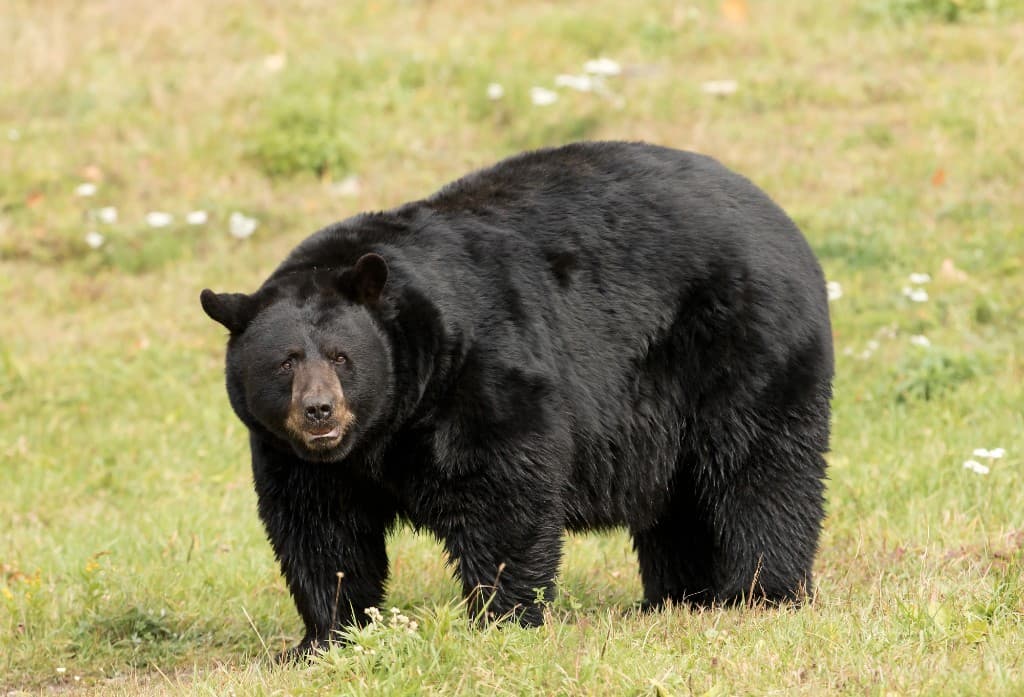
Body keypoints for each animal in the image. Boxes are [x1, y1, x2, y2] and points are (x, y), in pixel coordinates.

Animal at [200, 141, 833, 659]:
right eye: (285, 361)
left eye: (339, 356)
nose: (319, 411)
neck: (388, 424)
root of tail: (781, 218)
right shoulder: (296, 456)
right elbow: (319, 531)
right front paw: (324, 638)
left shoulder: (482, 373)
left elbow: (504, 492)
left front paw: (500, 617)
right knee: (680, 502)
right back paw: (678, 599)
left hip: (741, 345)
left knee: (759, 471)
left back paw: (761, 592)